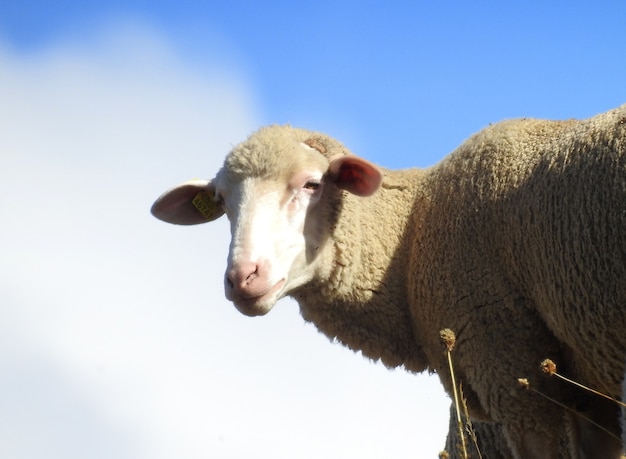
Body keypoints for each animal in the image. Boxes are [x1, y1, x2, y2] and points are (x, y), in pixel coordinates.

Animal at [150, 105, 624, 459]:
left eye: (312, 184)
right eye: (221, 201)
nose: (242, 277)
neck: (410, 233)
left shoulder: (511, 369)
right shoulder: (590, 396)